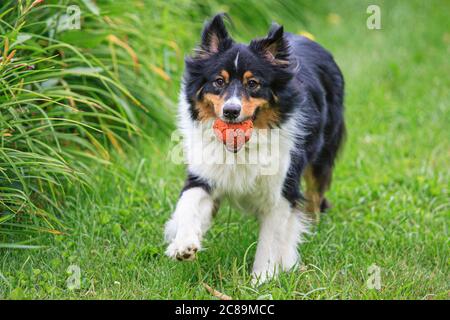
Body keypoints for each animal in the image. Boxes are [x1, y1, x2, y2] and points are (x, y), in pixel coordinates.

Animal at [165, 13, 344, 284]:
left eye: (253, 84)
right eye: (218, 81)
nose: (231, 111)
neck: (241, 146)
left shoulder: (281, 188)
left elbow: (271, 239)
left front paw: (262, 279)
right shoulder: (204, 173)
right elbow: (188, 202)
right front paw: (183, 245)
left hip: (322, 155)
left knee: (314, 196)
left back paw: (311, 227)